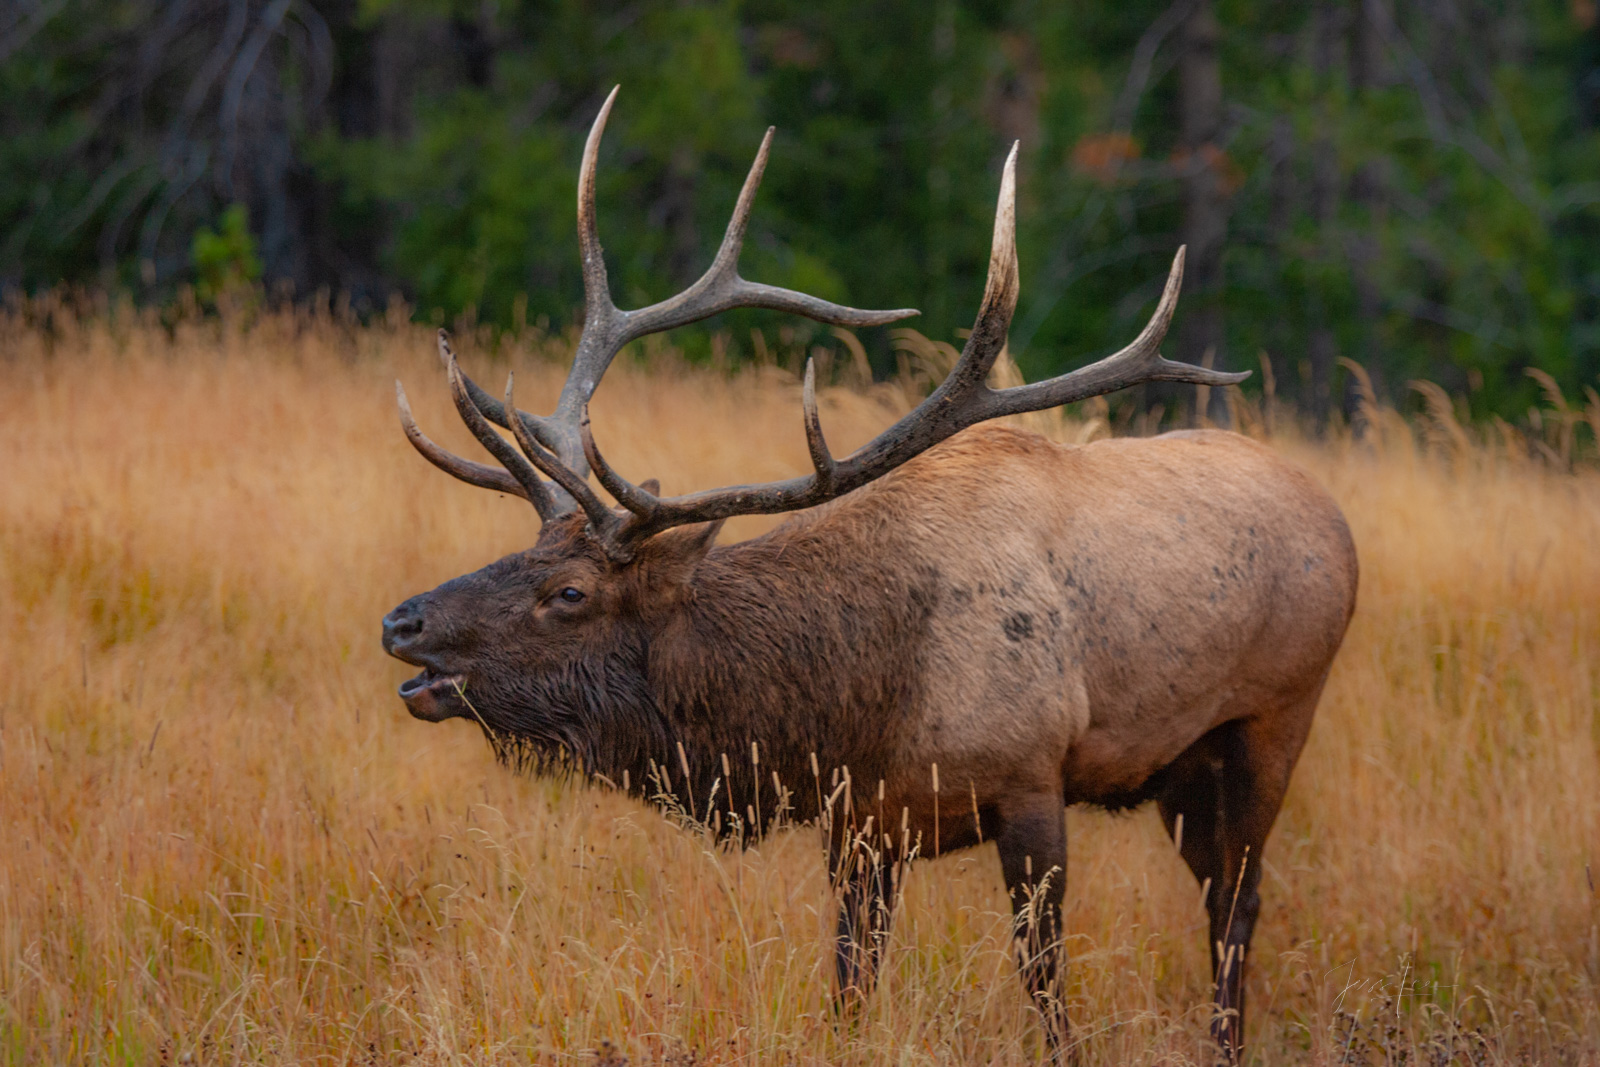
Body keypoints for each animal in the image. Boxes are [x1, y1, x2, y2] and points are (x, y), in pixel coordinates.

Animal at [380, 89, 1356, 1062]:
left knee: (1237, 903)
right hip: (1182, 770)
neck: (856, 697)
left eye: (570, 593)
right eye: (532, 553)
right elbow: (852, 980)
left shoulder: (1032, 776)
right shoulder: (860, 824)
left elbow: (1044, 978)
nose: (402, 622)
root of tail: (1332, 515)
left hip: (1274, 720)